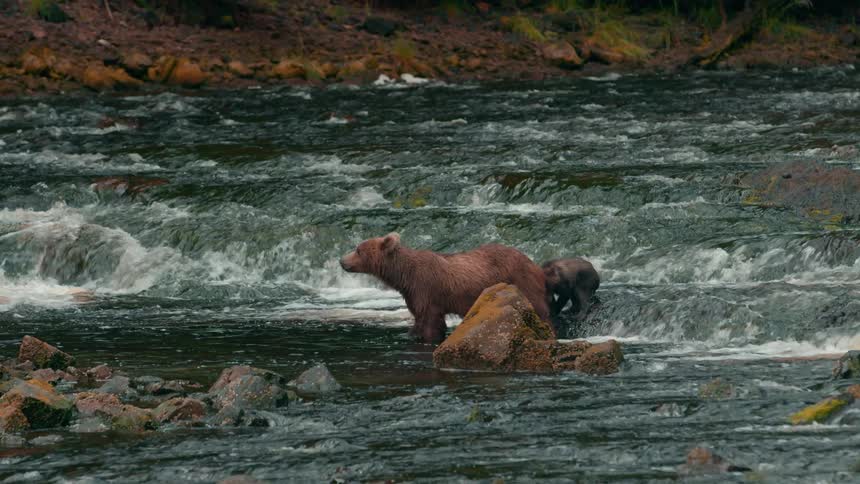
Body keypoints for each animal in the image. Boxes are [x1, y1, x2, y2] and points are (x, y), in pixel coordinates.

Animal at [340, 233, 551, 344]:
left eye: (358, 250)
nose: (342, 260)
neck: (404, 276)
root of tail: (535, 263)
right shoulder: (414, 294)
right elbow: (419, 319)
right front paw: (411, 333)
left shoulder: (426, 290)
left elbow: (430, 324)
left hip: (521, 281)